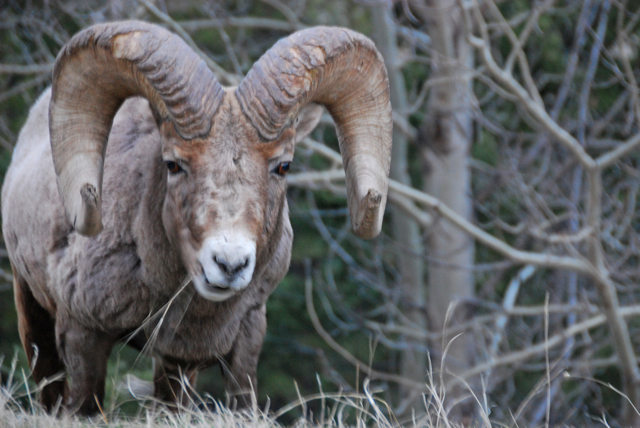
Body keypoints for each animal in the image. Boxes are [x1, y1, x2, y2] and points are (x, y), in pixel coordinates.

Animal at [1, 20, 390, 414]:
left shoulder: (239, 341)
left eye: (283, 166)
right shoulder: (82, 335)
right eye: (173, 164)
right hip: (32, 316)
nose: (229, 264)